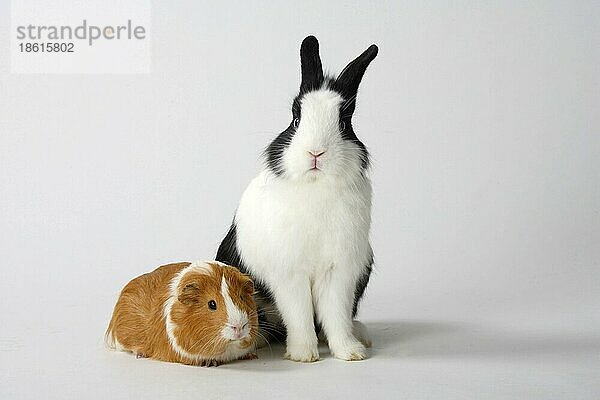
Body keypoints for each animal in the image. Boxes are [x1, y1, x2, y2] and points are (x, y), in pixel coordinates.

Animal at [216, 36, 378, 362]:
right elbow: (299, 314)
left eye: (344, 124)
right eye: (295, 119)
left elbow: (336, 314)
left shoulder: (339, 273)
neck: (316, 186)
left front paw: (349, 352)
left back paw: (362, 335)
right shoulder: (291, 273)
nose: (316, 152)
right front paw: (303, 354)